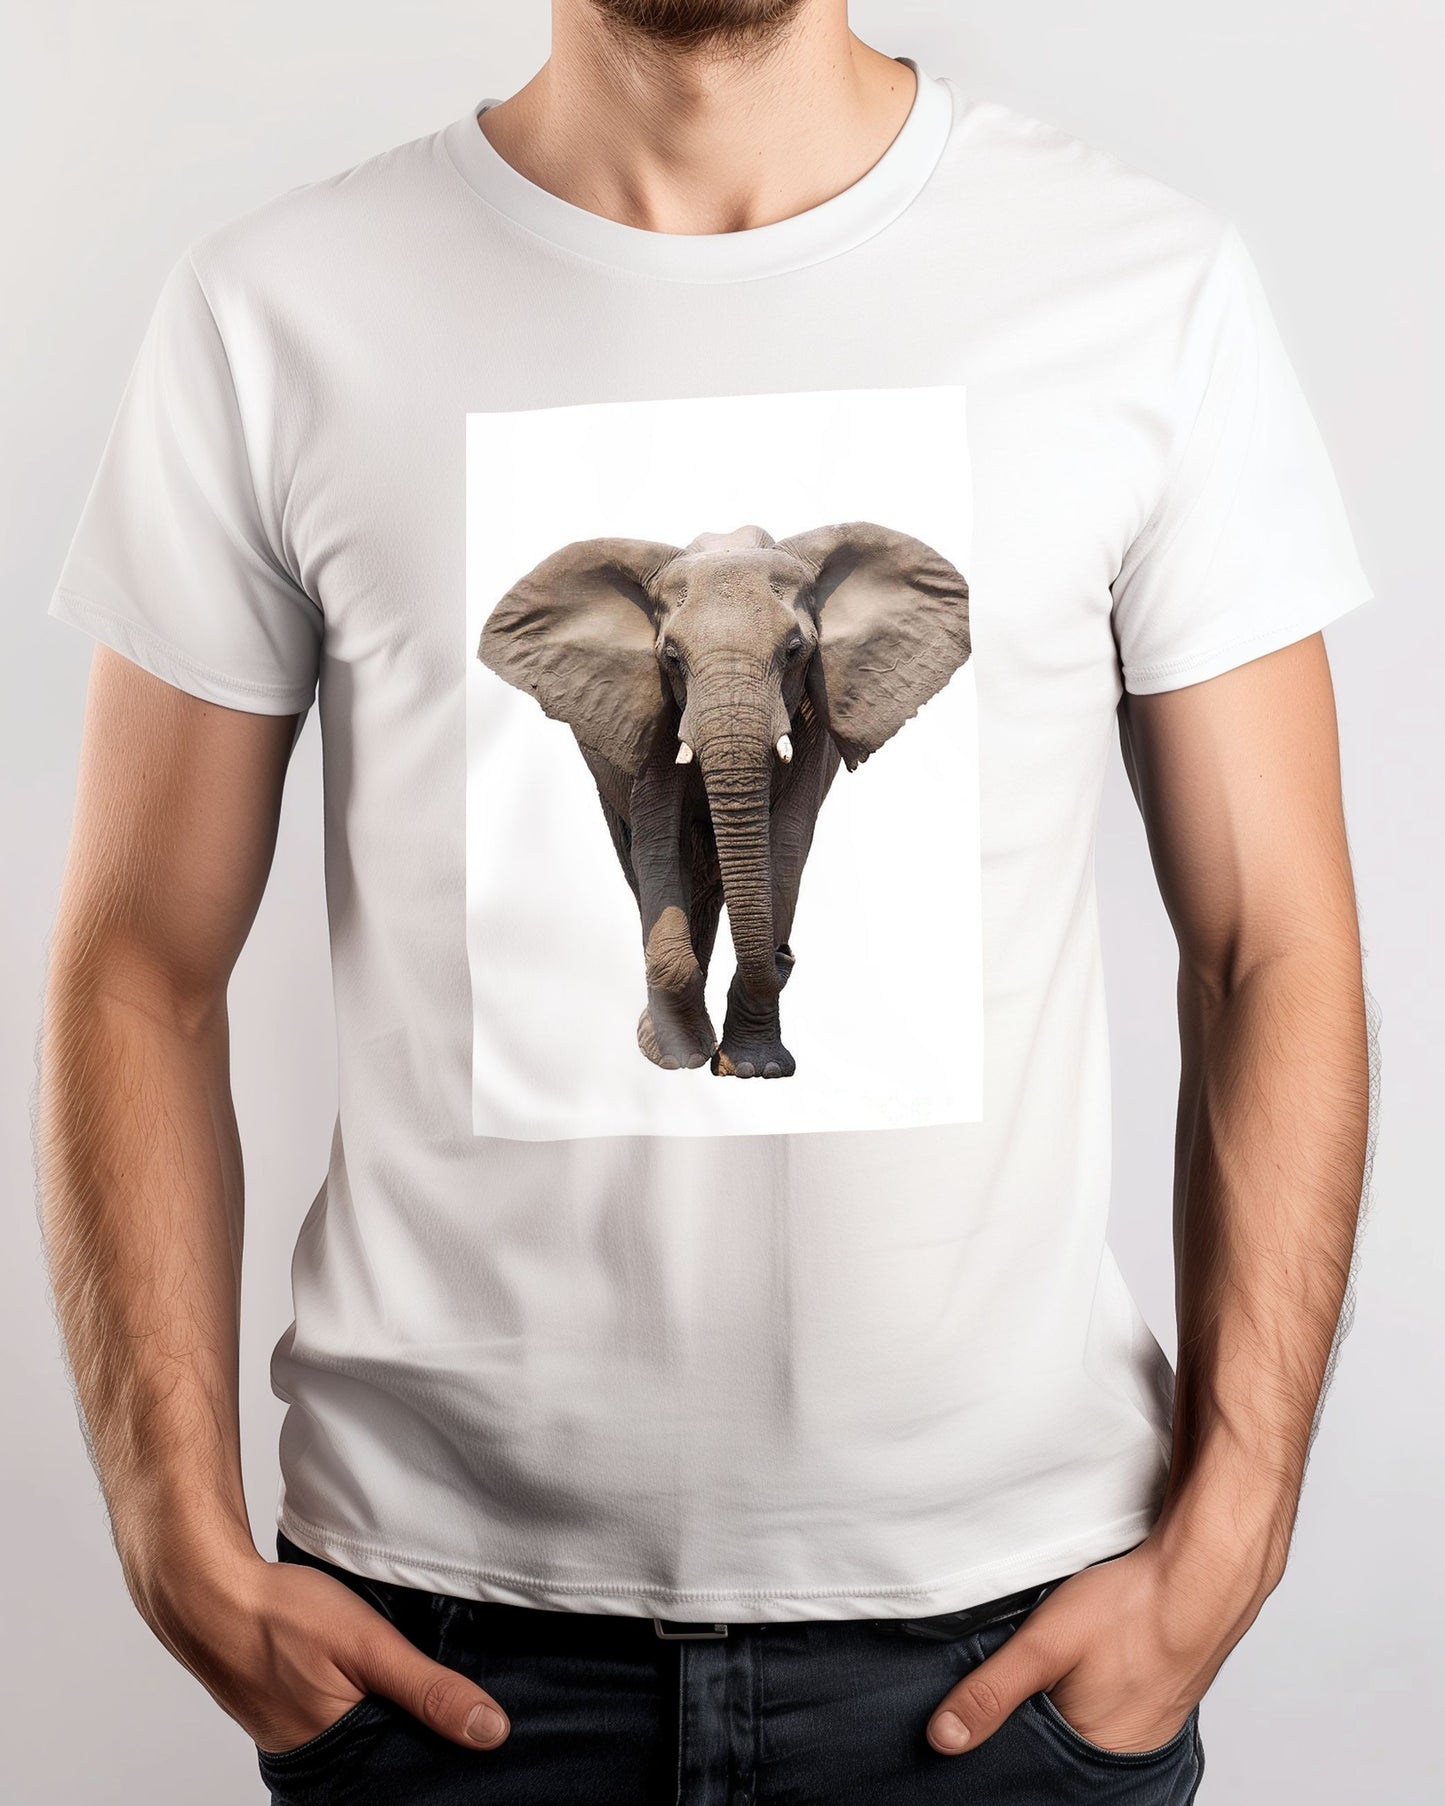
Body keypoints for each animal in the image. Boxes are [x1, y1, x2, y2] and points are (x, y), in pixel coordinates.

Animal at [478, 522, 970, 1080]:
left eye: (796, 651)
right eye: (671, 657)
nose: (787, 954)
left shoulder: (813, 718)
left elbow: (788, 842)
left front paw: (755, 1068)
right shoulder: (656, 711)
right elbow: (658, 840)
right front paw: (676, 1059)